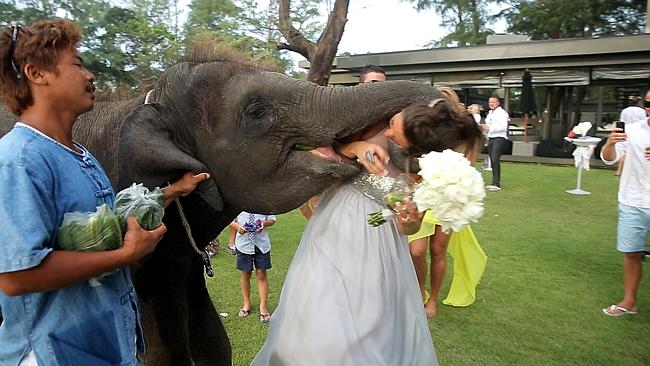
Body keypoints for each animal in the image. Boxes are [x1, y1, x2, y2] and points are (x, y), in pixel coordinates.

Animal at [0, 48, 440, 366]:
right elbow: (163, 355)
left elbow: (215, 344)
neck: (142, 104)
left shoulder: (182, 262)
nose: (440, 103)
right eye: (257, 111)